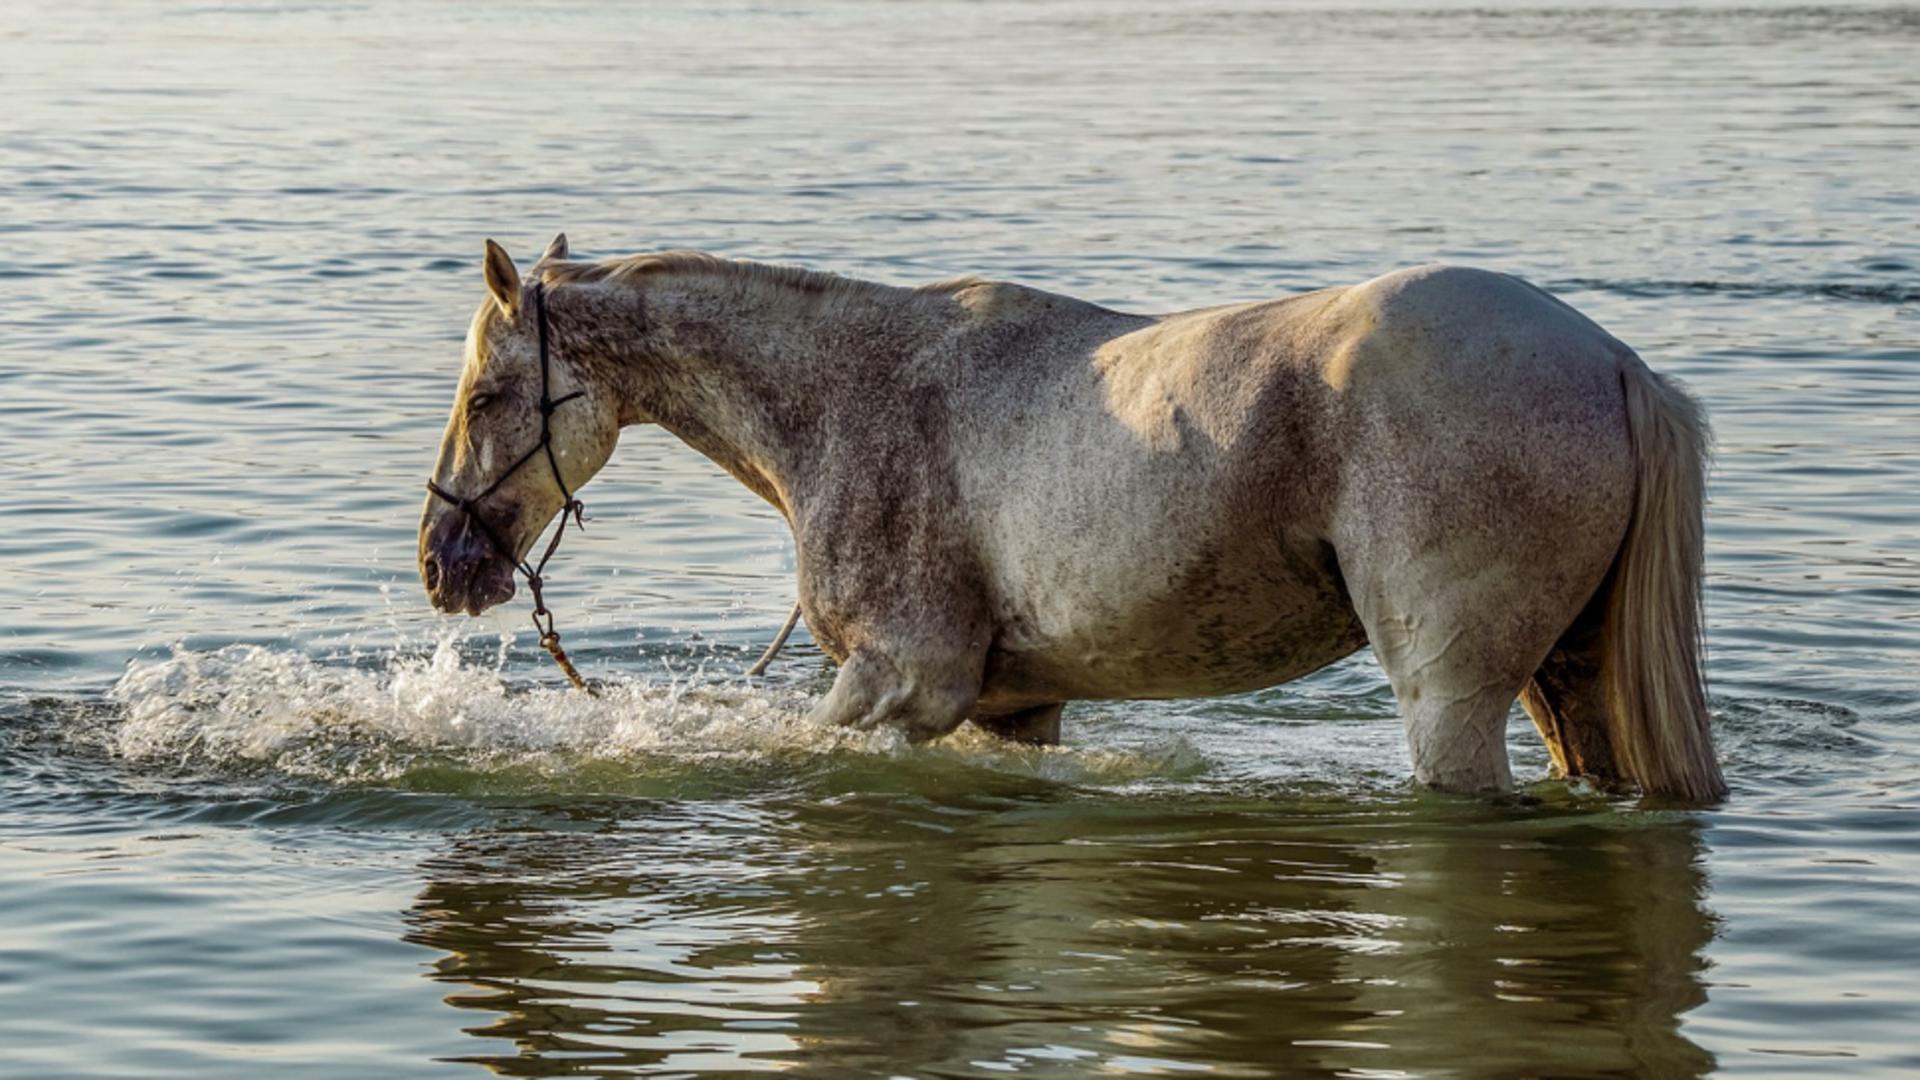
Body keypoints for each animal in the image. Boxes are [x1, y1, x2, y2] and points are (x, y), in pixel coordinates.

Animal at [424, 239, 1728, 803]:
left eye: (487, 397)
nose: (446, 562)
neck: (856, 392)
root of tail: (1613, 363)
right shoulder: (1010, 709)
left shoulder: (903, 683)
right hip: (1567, 683)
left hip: (1452, 693)